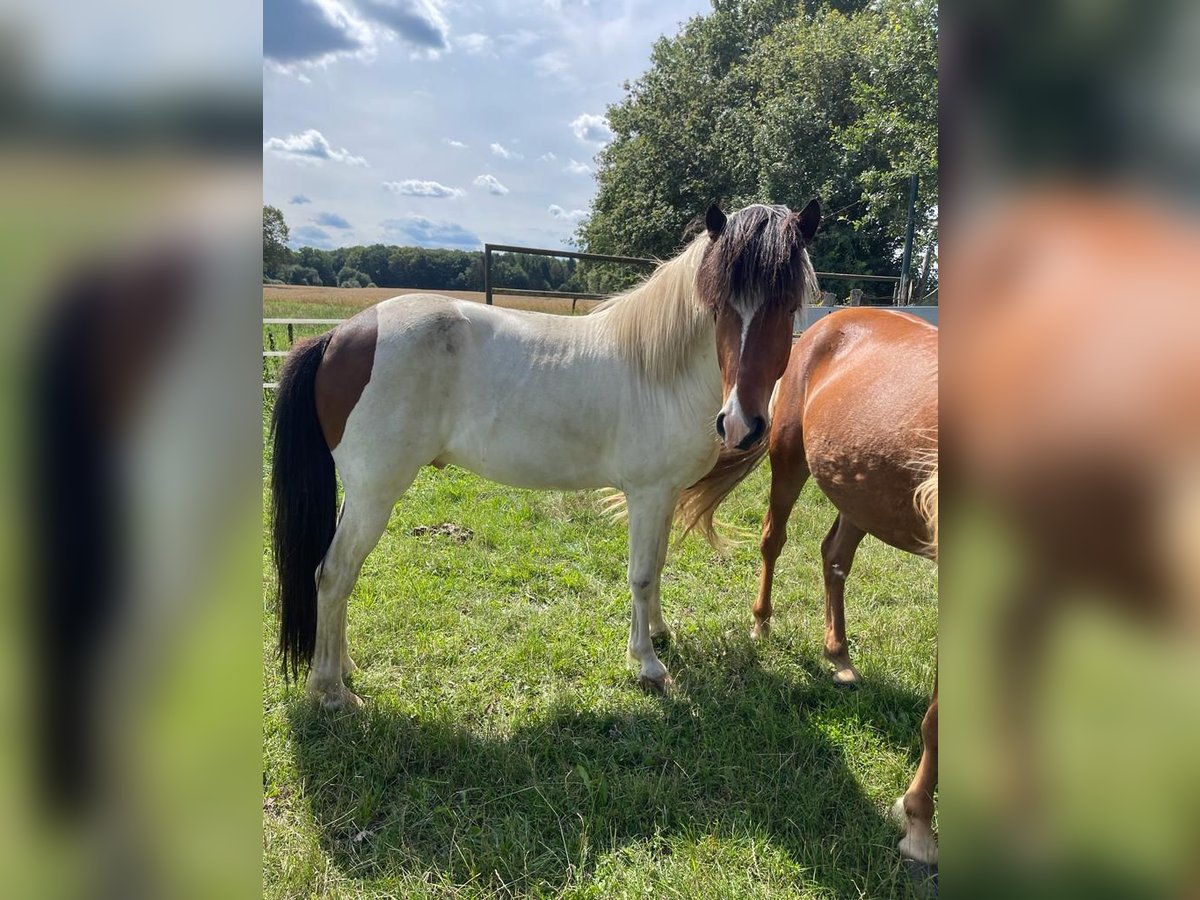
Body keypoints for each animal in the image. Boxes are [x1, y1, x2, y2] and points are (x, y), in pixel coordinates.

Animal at [267, 202, 820, 710]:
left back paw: (344, 667)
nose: (742, 424)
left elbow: (657, 565)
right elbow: (641, 575)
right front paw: (647, 663)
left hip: (359, 495)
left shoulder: (663, 497)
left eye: (788, 304)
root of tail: (338, 334)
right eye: (720, 305)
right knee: (334, 574)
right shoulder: (647, 494)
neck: (660, 371)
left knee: (336, 577)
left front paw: (661, 634)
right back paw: (332, 692)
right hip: (375, 495)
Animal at [676, 309, 936, 868]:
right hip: (790, 457)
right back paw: (762, 625)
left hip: (859, 490)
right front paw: (918, 827)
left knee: (835, 557)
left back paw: (838, 656)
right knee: (774, 539)